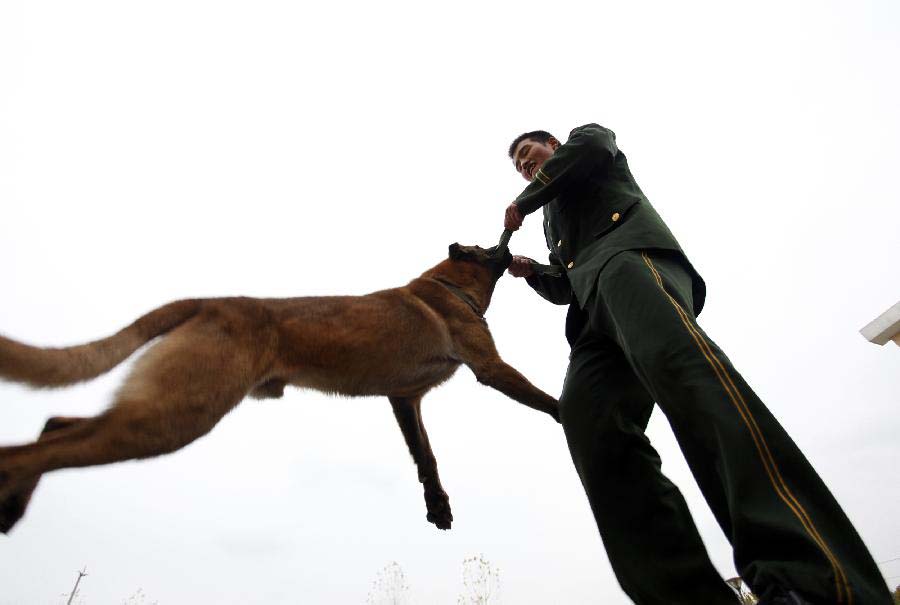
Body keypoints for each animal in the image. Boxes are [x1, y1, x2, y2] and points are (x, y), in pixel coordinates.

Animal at [0, 243, 560, 532]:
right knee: (32, 450)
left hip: (158, 408)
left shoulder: (404, 400)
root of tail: (208, 302)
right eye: (488, 249)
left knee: (56, 425)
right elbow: (544, 399)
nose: (511, 246)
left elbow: (426, 457)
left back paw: (14, 507)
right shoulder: (490, 366)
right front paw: (562, 413)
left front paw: (437, 506)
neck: (444, 284)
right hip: (175, 415)